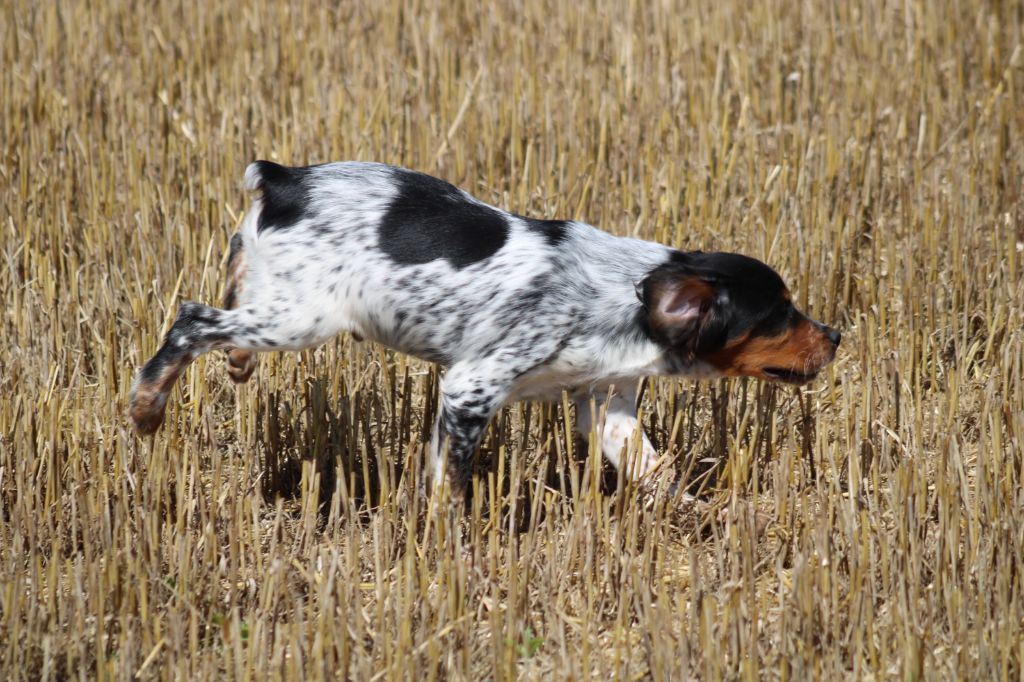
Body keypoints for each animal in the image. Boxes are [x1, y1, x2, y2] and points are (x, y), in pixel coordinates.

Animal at [128, 161, 835, 497]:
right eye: (779, 313)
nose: (835, 337)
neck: (618, 294)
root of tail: (285, 179)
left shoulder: (604, 407)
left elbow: (657, 471)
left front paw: (697, 520)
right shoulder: (472, 386)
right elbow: (451, 482)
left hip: (280, 301)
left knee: (230, 294)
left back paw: (236, 362)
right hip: (303, 318)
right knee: (192, 318)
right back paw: (146, 407)